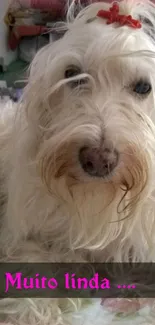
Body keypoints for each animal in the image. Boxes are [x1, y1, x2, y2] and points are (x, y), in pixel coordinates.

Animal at [0, 0, 155, 322]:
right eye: (73, 74)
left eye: (143, 87)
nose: (98, 160)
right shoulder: (22, 234)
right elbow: (36, 261)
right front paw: (31, 311)